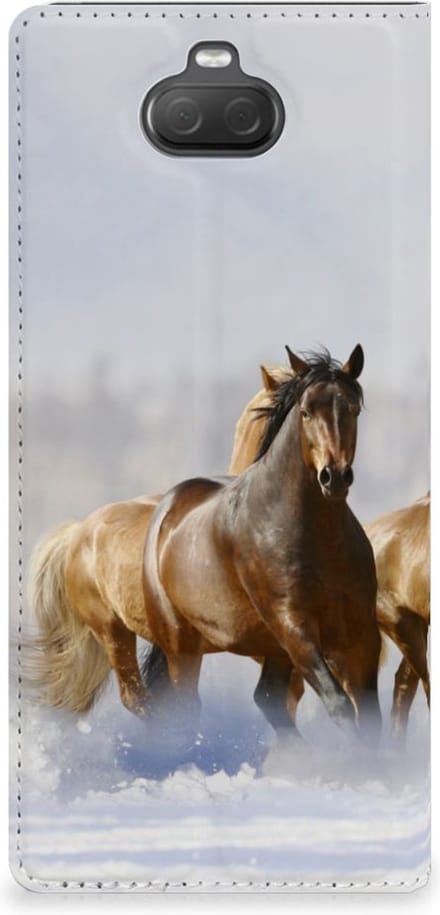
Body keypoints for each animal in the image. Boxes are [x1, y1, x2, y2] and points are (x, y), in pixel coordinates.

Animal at [26, 345, 381, 742]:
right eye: (305, 411)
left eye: (353, 409)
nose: (334, 476)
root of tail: (78, 532)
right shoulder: (293, 629)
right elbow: (336, 703)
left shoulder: (359, 633)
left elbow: (366, 712)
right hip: (138, 637)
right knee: (155, 702)